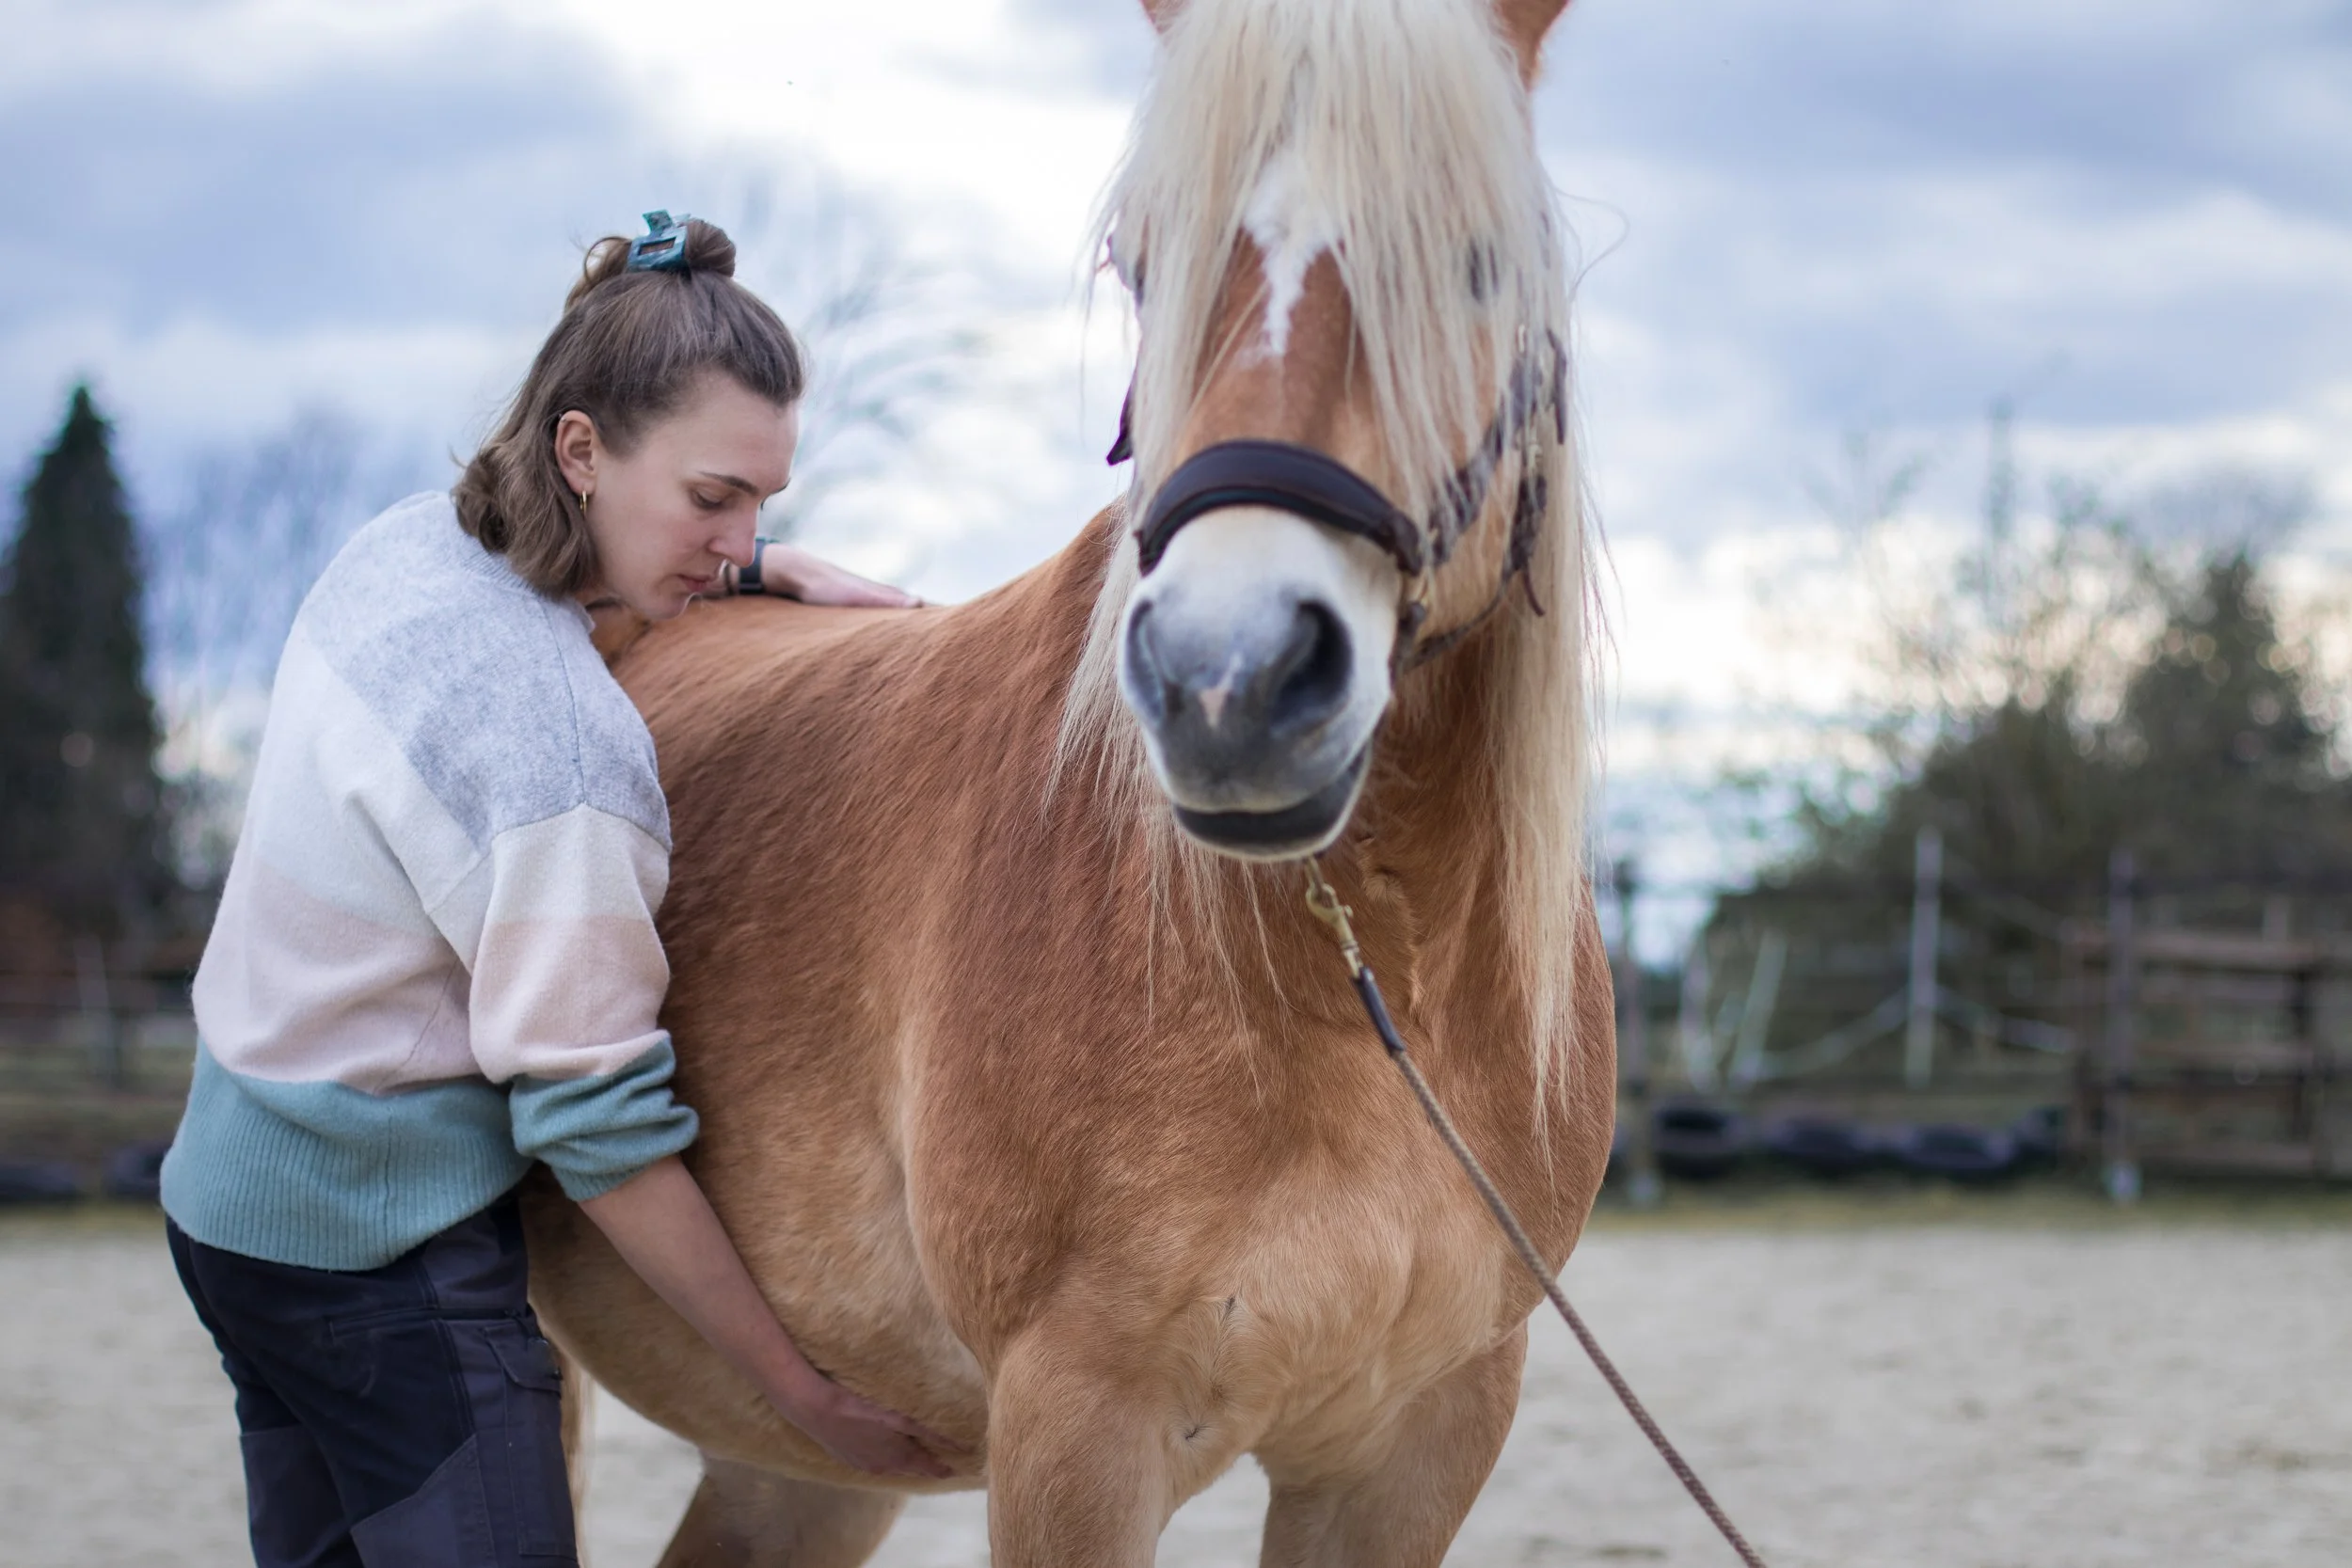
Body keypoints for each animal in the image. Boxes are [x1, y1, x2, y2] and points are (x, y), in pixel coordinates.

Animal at [521, 0, 1614, 1562]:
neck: (1360, 984)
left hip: (806, 1452)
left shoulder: (1413, 1446)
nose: (1230, 678)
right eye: (1144, 261)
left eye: (1478, 257)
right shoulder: (1075, 1435)